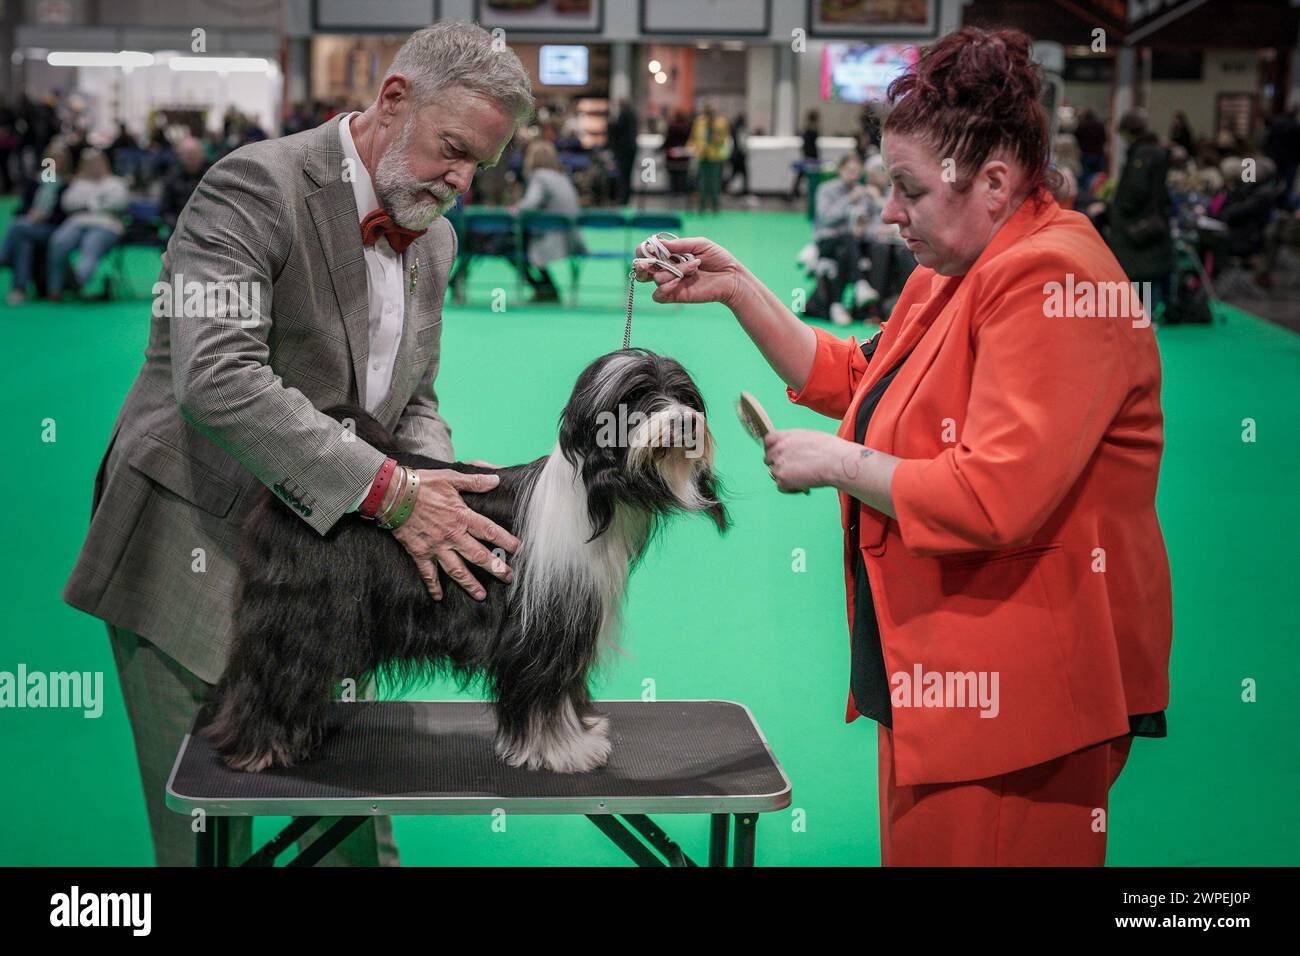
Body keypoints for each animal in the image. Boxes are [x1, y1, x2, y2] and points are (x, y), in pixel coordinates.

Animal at [202, 351, 733, 780]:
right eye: (638, 397)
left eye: (685, 396)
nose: (687, 422)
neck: (590, 496)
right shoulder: (542, 632)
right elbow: (544, 696)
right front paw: (564, 751)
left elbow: (566, 691)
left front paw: (581, 736)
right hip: (302, 616)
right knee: (273, 671)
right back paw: (260, 747)